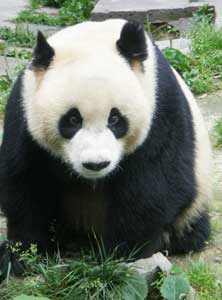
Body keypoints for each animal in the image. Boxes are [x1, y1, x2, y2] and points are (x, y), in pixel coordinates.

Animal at [0, 18, 212, 276]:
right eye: (73, 120)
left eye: (115, 119)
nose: (96, 164)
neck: (94, 39)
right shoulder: (24, 112)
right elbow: (25, 183)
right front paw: (23, 255)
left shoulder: (160, 109)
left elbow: (154, 185)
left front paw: (122, 254)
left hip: (197, 196)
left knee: (190, 224)